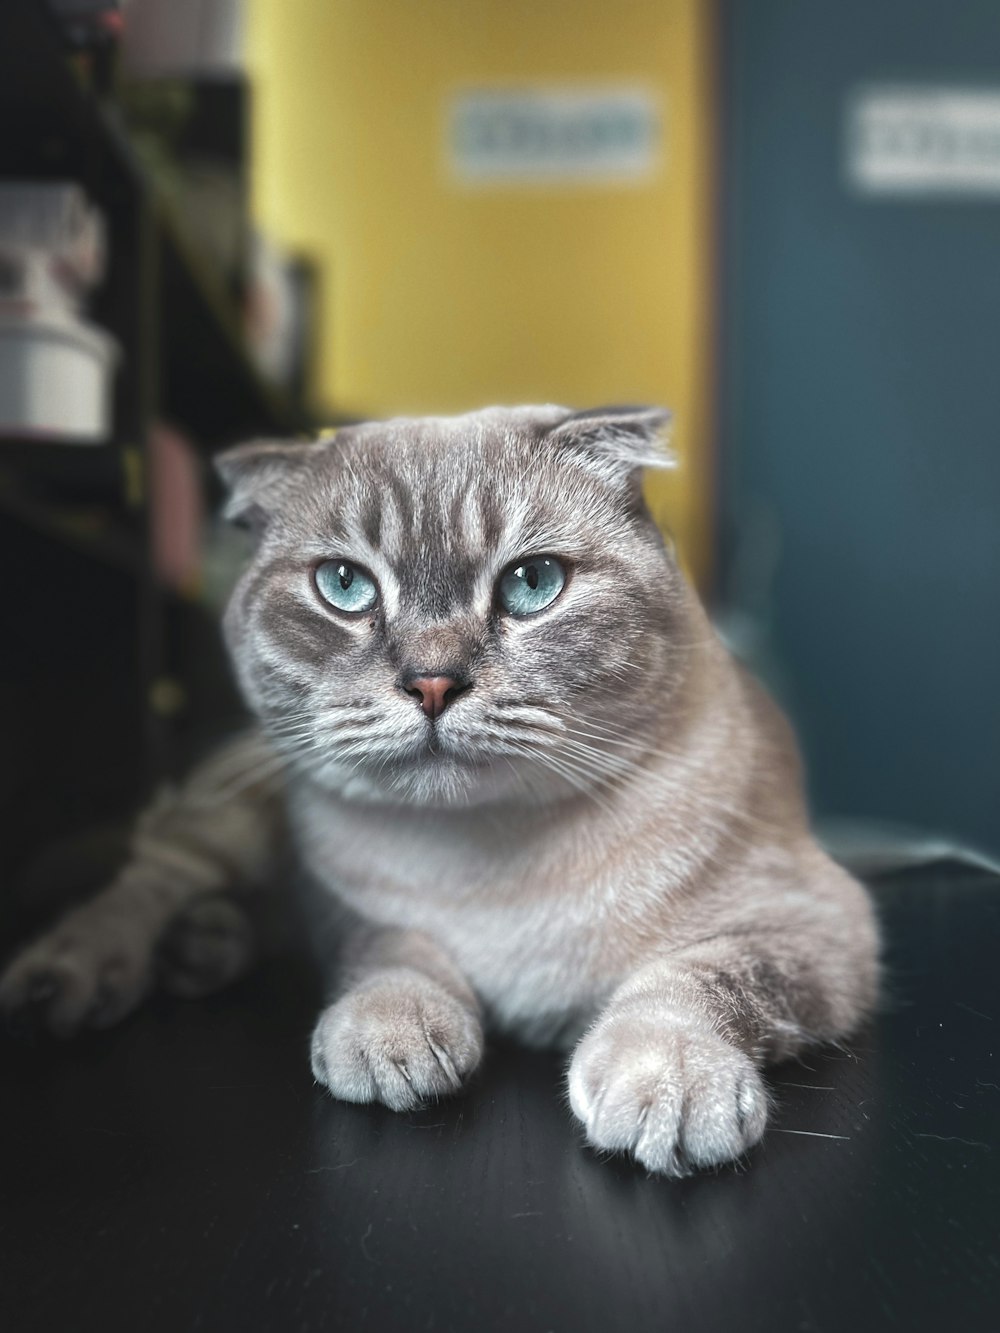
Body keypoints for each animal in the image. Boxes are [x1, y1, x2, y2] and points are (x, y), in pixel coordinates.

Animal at [0, 405, 874, 1178]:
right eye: (344, 585)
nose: (431, 682)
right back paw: (67, 980)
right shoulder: (347, 912)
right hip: (233, 817)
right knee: (149, 881)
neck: (491, 858)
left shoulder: (814, 923)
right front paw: (392, 1033)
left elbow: (696, 976)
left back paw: (201, 945)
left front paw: (669, 1079)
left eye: (533, 583)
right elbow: (392, 949)